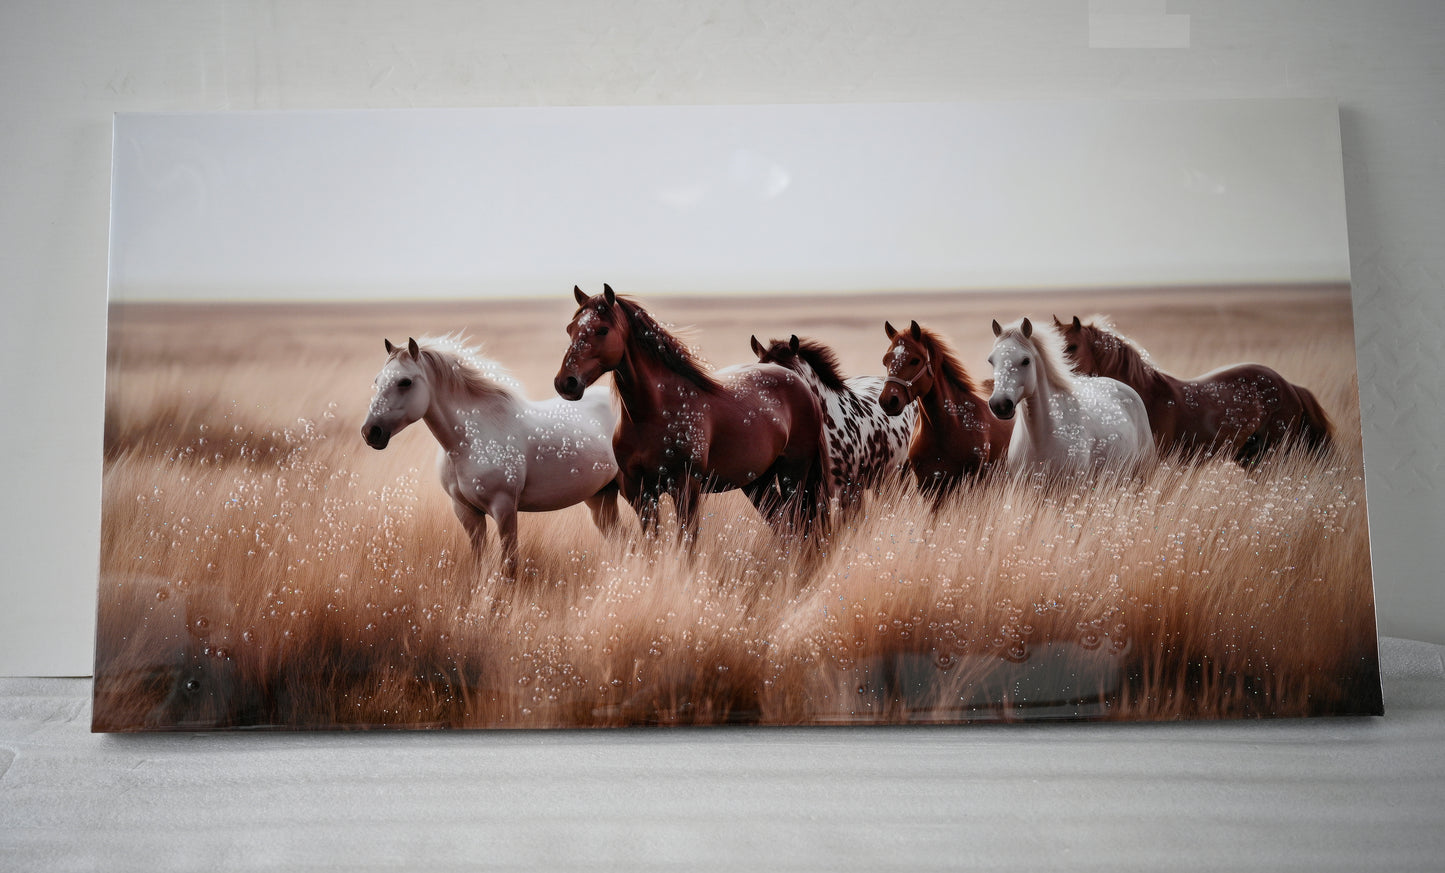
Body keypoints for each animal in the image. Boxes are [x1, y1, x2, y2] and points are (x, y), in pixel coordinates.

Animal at [362, 335, 622, 575]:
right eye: (377, 380)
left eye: (405, 382)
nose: (370, 432)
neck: (468, 443)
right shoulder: (466, 512)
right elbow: (479, 561)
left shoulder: (504, 509)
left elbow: (510, 566)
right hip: (600, 497)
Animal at [554, 285, 830, 543]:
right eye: (569, 329)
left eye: (602, 330)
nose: (566, 383)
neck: (651, 414)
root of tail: (797, 381)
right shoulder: (639, 493)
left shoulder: (686, 488)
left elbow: (686, 545)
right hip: (759, 481)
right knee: (783, 525)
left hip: (793, 475)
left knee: (796, 526)